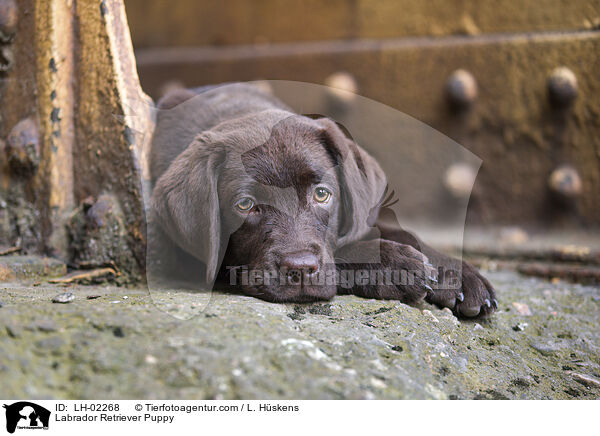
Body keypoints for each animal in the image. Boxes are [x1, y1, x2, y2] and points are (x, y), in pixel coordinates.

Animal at [149, 83, 496, 318]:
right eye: (245, 204)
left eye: (321, 194)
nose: (301, 269)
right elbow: (339, 252)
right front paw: (395, 265)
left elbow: (400, 231)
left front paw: (458, 273)